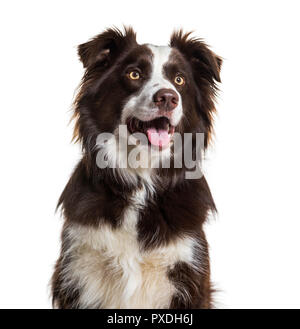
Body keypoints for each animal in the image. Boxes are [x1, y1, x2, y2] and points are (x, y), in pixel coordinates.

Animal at [51, 27, 220, 308]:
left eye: (179, 80)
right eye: (134, 74)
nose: (168, 98)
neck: (141, 182)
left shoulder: (189, 270)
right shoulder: (78, 271)